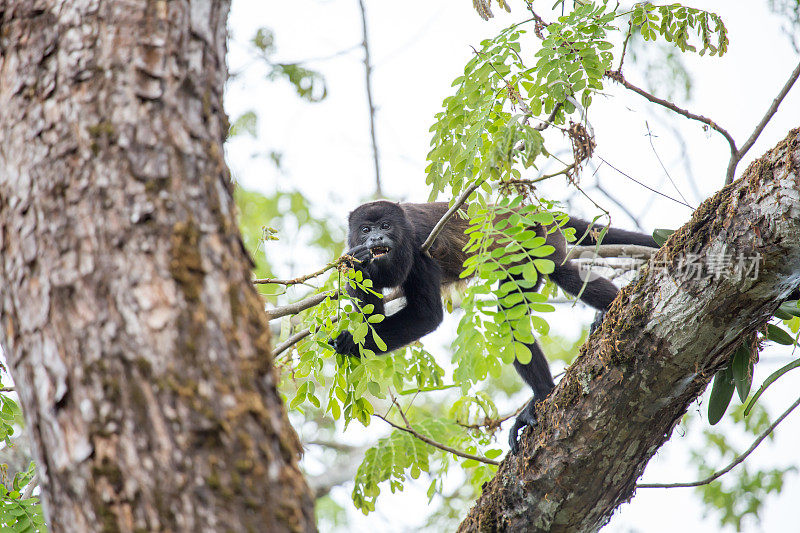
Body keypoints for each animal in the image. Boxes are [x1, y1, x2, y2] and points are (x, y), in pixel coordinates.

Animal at [328, 200, 660, 454]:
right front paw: (356, 269)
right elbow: (372, 317)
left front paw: (350, 344)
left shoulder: (419, 245)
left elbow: (427, 315)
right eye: (366, 230)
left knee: (562, 273)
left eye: (386, 226)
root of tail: (527, 209)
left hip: (540, 241)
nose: (375, 240)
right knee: (512, 312)